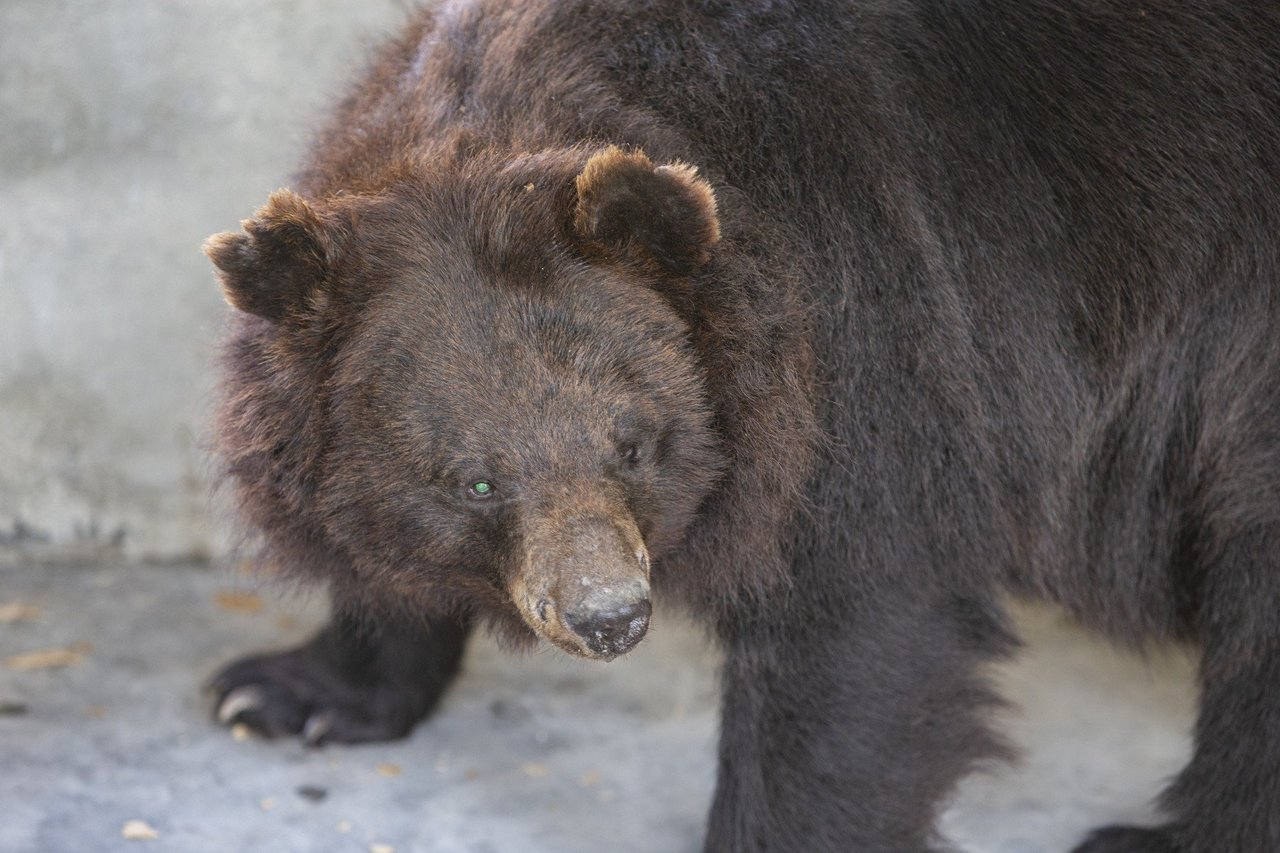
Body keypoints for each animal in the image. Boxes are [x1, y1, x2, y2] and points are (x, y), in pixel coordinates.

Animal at [204, 1, 1280, 850]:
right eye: (472, 482)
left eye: (634, 445)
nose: (607, 617)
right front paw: (283, 693)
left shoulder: (869, 333)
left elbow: (859, 624)